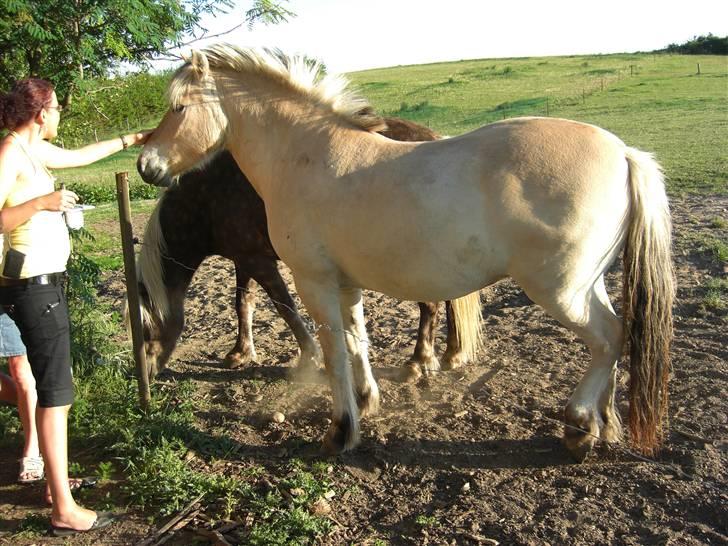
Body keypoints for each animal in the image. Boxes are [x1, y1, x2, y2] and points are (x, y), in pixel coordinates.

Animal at [134, 119, 464, 380]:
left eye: (145, 329)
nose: (144, 375)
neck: (207, 198)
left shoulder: (260, 263)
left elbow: (285, 307)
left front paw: (308, 357)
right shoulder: (244, 259)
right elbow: (242, 304)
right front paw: (240, 353)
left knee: (429, 304)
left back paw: (418, 363)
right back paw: (452, 355)